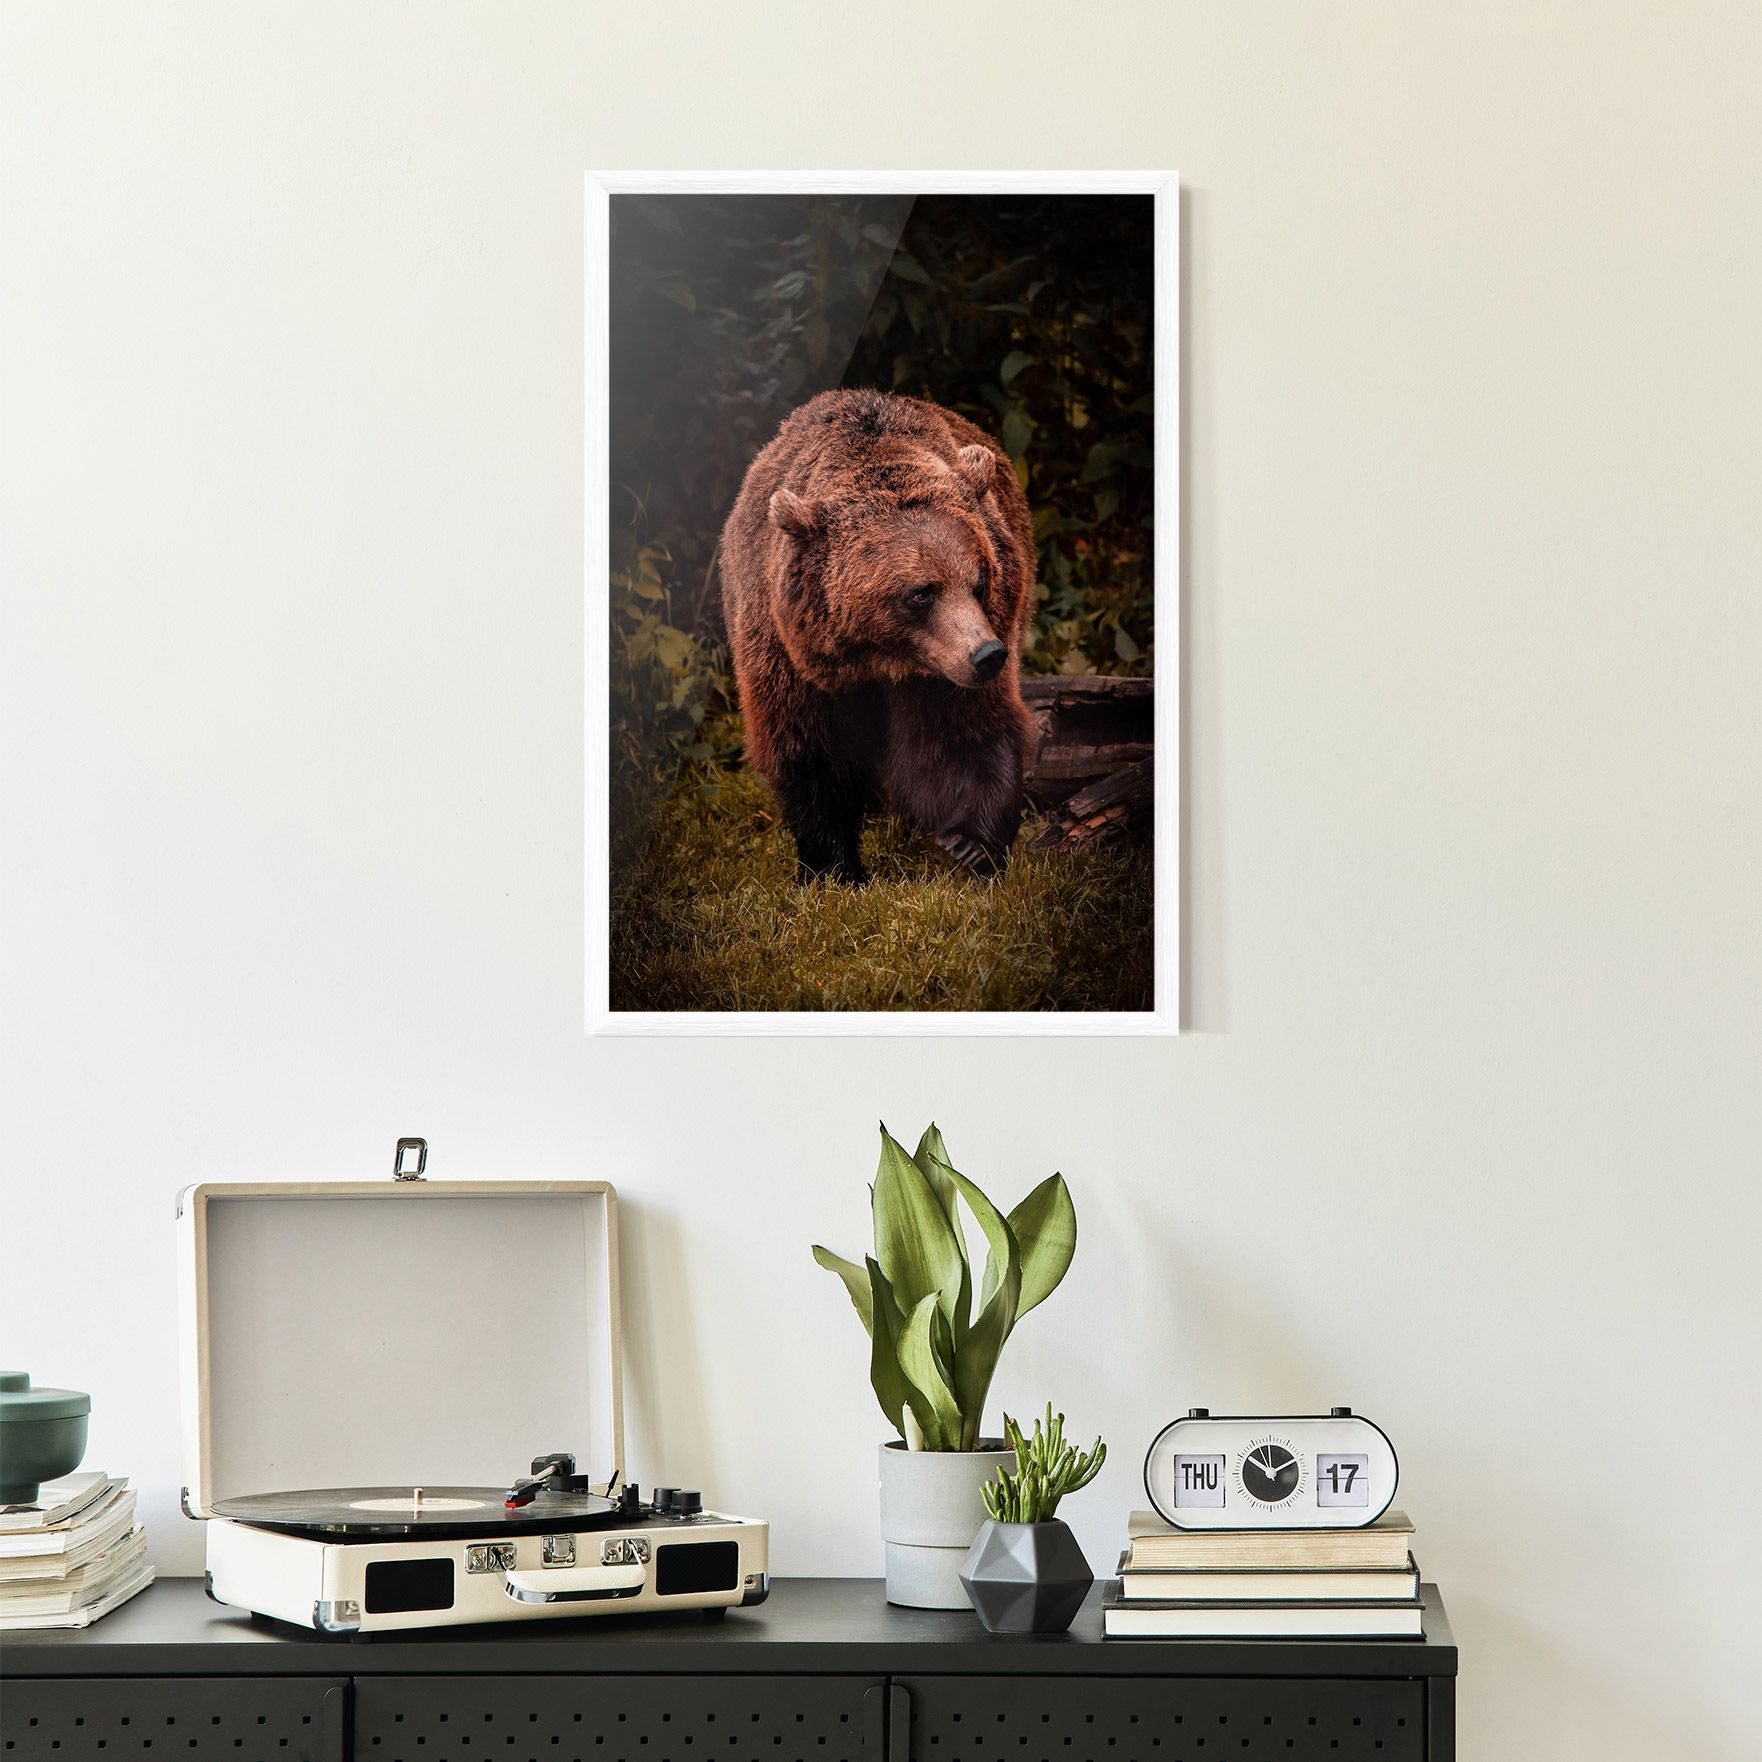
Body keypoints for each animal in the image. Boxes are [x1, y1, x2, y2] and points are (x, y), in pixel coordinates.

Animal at [719, 388, 1037, 886]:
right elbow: (810, 752)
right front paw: (833, 868)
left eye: (979, 580)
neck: (879, 659)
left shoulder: (945, 666)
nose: (988, 655)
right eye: (921, 592)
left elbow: (961, 735)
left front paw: (971, 844)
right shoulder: (786, 655)